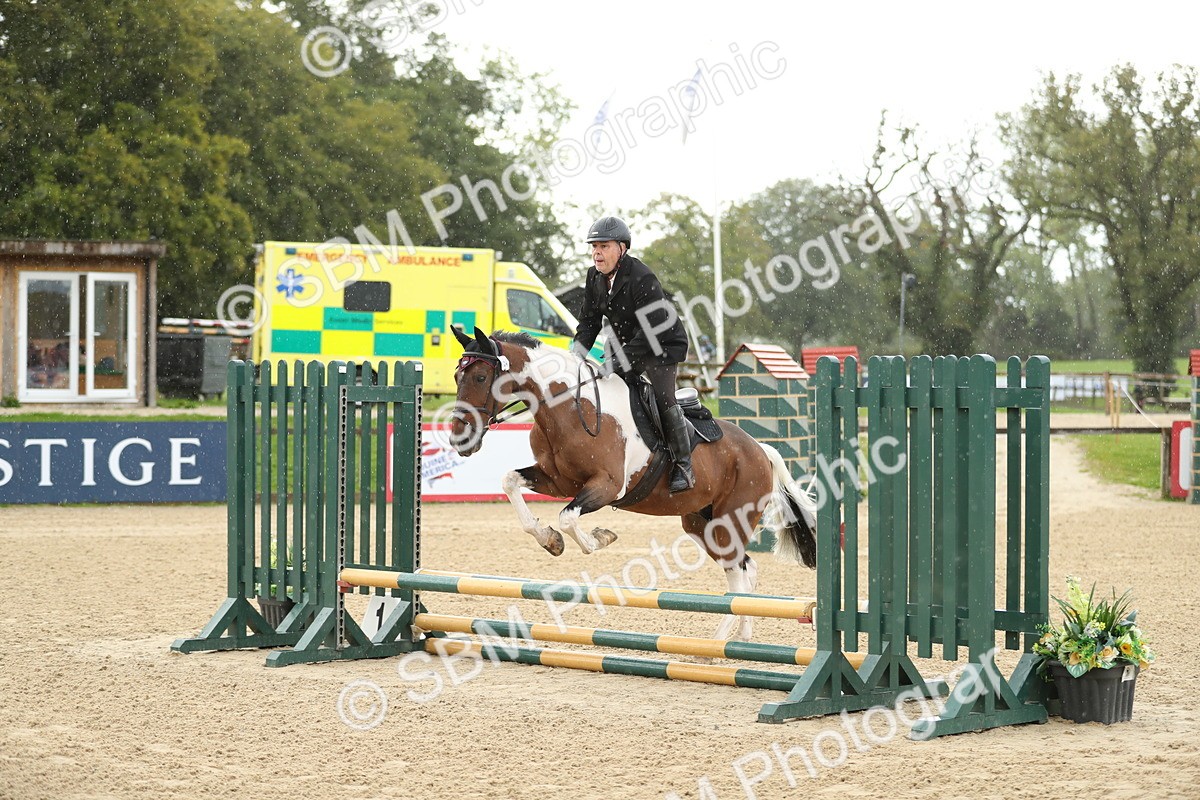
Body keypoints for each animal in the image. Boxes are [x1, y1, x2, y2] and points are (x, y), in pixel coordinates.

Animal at [448, 327, 817, 641]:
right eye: (456, 376)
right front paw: (549, 539)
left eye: (480, 377)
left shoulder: (607, 486)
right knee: (743, 569)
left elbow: (568, 517)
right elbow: (510, 482)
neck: (568, 407)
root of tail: (761, 449)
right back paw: (739, 636)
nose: (458, 439)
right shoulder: (558, 481)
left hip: (731, 519)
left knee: (740, 573)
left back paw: (719, 642)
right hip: (701, 523)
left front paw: (599, 538)